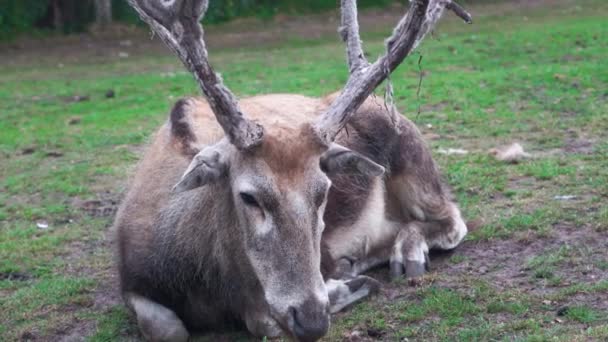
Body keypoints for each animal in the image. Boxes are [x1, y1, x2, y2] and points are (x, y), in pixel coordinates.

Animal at [115, 0, 476, 340]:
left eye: (324, 192)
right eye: (249, 197)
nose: (311, 320)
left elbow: (262, 321)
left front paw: (346, 287)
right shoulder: (128, 277)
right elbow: (166, 328)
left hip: (408, 150)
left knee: (452, 218)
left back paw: (407, 253)